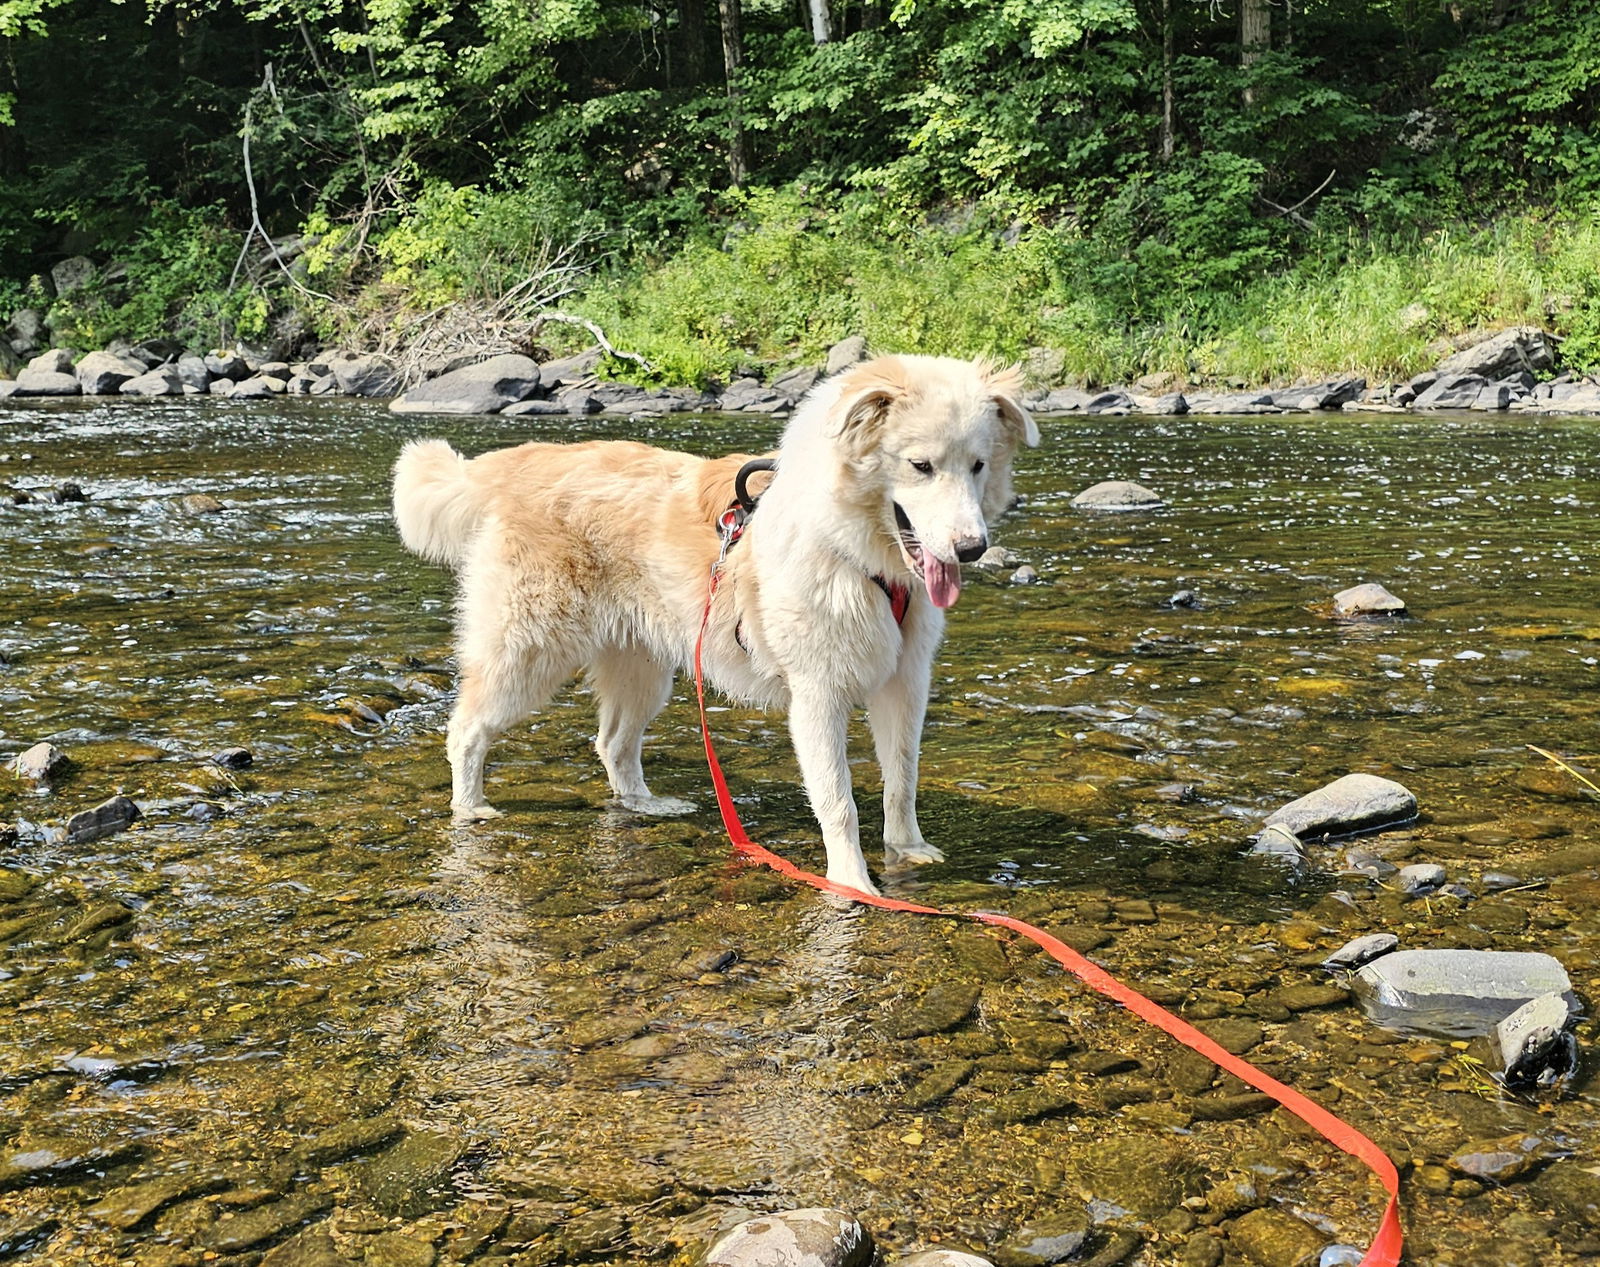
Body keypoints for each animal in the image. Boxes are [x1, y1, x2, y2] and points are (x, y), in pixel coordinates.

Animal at [387, 351, 1036, 895]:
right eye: (920, 466)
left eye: (978, 466)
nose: (972, 549)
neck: (861, 556)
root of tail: (513, 463)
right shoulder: (818, 694)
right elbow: (839, 799)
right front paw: (852, 883)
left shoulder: (905, 683)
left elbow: (901, 778)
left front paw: (907, 850)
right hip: (528, 653)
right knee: (467, 729)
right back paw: (470, 807)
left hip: (644, 672)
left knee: (612, 742)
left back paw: (646, 805)